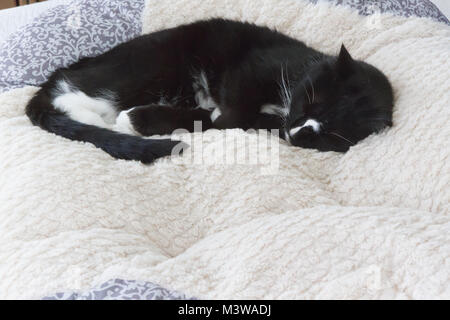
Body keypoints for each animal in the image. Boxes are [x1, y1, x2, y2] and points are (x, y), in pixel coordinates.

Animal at [25, 17, 394, 164]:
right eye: (312, 100)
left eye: (330, 134)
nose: (298, 130)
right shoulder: (254, 66)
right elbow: (234, 111)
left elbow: (219, 121)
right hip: (151, 65)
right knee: (75, 93)